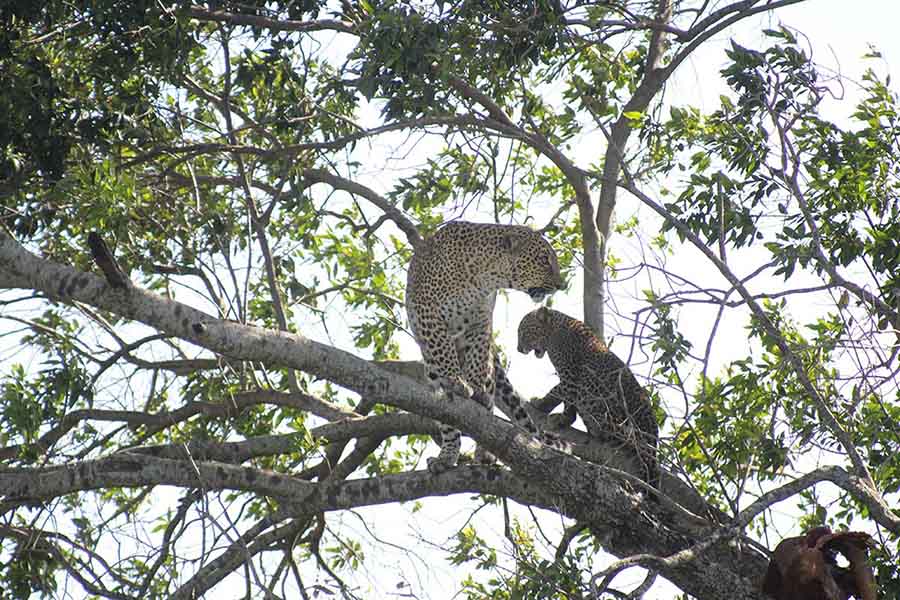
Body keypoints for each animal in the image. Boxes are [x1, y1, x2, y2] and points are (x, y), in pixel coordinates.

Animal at [405, 221, 566, 473]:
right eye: (544, 260)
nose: (562, 285)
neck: (483, 277)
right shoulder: (428, 313)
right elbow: (444, 350)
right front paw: (456, 380)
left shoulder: (481, 323)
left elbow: (478, 360)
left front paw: (475, 386)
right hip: (431, 368)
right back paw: (446, 456)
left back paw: (485, 452)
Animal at [517, 307, 660, 489]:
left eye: (524, 332)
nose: (518, 348)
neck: (554, 330)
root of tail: (653, 443)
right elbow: (568, 401)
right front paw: (565, 418)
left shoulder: (570, 377)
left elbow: (556, 392)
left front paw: (542, 404)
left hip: (593, 389)